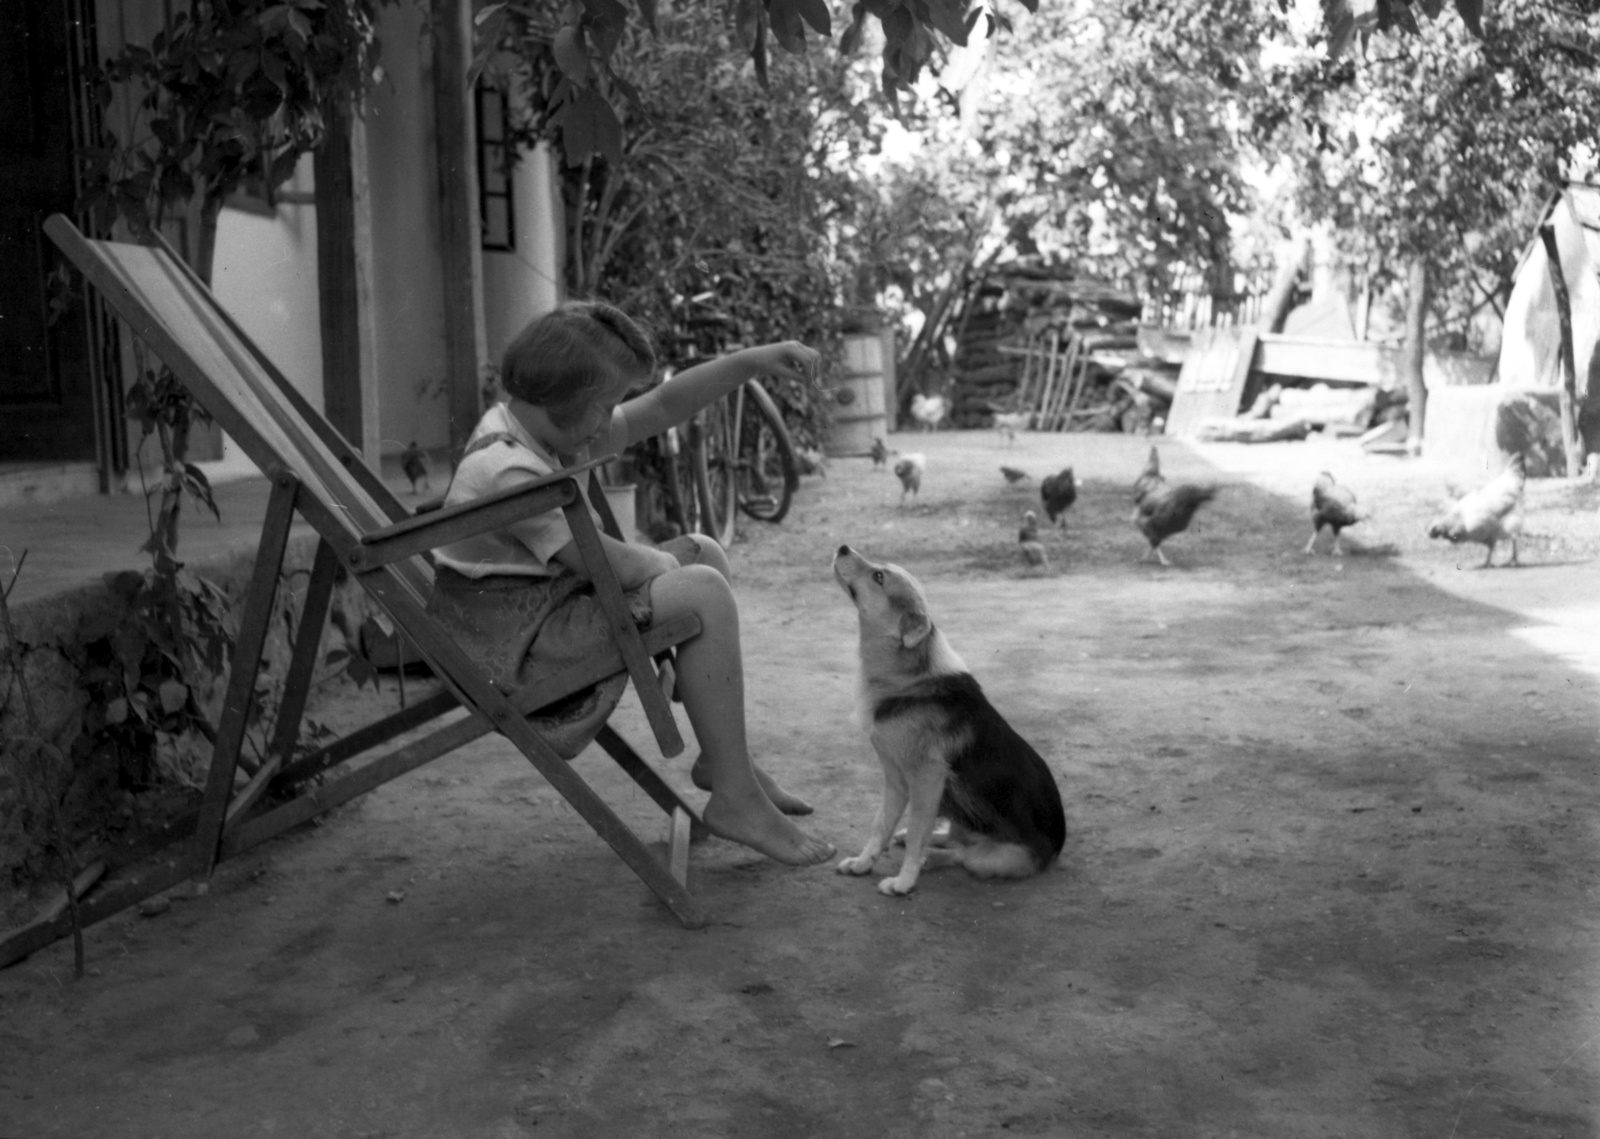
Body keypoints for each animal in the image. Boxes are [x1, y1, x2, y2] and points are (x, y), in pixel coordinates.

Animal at [832, 547, 1068, 895]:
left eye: (879, 576)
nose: (843, 547)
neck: (907, 673)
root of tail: (1056, 846)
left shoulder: (927, 778)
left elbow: (916, 838)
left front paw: (904, 881)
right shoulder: (896, 780)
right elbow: (880, 827)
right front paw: (863, 863)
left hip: (998, 858)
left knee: (961, 853)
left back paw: (931, 856)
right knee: (953, 836)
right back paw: (936, 838)